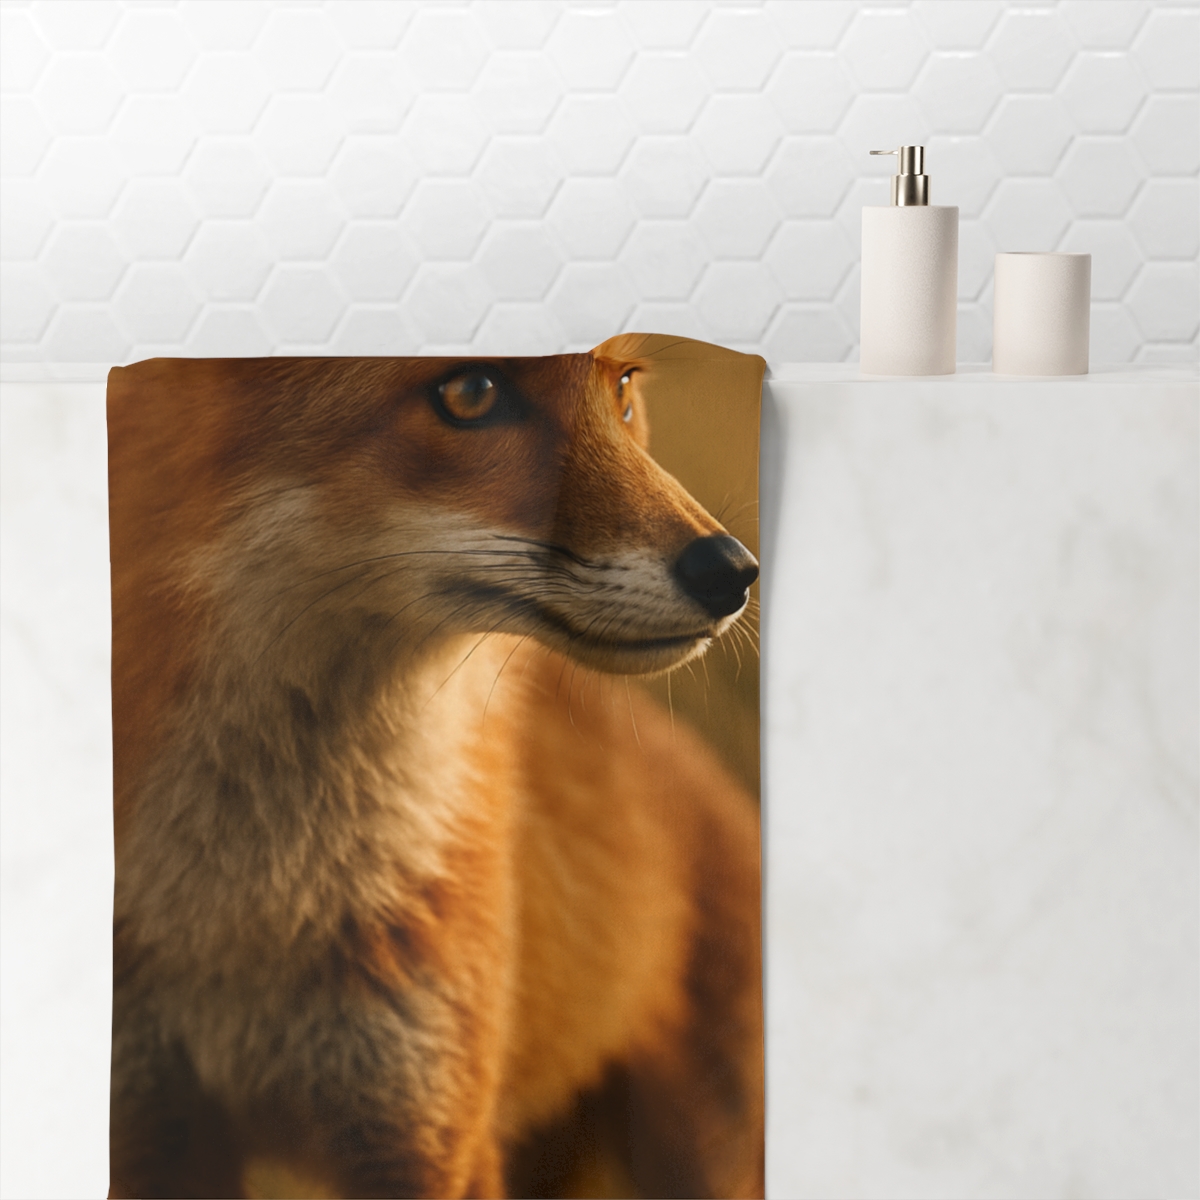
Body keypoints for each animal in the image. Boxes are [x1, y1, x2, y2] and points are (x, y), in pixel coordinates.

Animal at [106, 336, 764, 1200]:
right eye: (471, 392)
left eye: (622, 387)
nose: (733, 571)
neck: (253, 917)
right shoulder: (152, 1124)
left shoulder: (427, 1130)